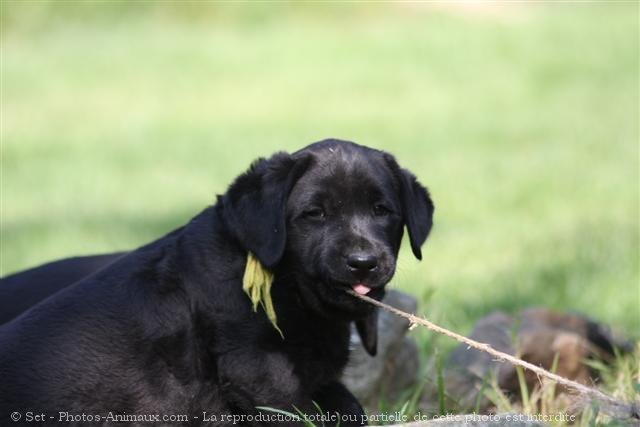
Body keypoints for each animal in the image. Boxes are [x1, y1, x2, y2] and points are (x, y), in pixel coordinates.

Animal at [1, 139, 436, 426]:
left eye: (382, 211)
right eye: (315, 214)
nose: (363, 263)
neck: (286, 285)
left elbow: (347, 405)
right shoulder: (260, 371)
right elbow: (297, 411)